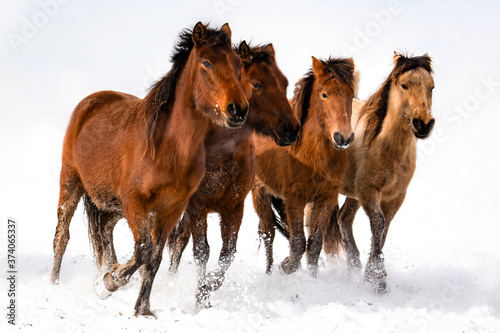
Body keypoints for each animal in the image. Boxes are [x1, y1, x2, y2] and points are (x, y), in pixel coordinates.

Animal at [49, 22, 249, 316]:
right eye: (207, 63)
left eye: (237, 64)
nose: (238, 110)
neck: (166, 149)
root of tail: (91, 101)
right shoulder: (136, 202)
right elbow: (143, 250)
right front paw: (108, 284)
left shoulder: (171, 208)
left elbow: (153, 257)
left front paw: (142, 308)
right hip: (71, 182)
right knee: (62, 236)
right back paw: (54, 284)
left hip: (112, 203)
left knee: (104, 228)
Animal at [165, 41, 300, 306]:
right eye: (257, 84)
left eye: (285, 82)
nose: (291, 129)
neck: (221, 154)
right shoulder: (198, 206)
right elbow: (202, 251)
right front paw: (201, 298)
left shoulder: (234, 207)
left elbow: (227, 253)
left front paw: (208, 287)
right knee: (179, 241)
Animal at [252, 56, 358, 274]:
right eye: (324, 94)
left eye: (351, 96)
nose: (343, 138)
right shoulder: (294, 199)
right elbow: (298, 244)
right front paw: (286, 267)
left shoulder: (325, 198)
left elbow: (314, 244)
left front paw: (311, 278)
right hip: (259, 193)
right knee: (268, 233)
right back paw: (268, 273)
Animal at [322, 52, 436, 294]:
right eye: (404, 85)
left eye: (431, 86)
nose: (423, 124)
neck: (386, 146)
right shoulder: (369, 191)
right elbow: (378, 223)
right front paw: (378, 279)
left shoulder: (395, 196)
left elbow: (384, 230)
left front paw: (371, 275)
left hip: (352, 194)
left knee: (343, 218)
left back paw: (353, 265)